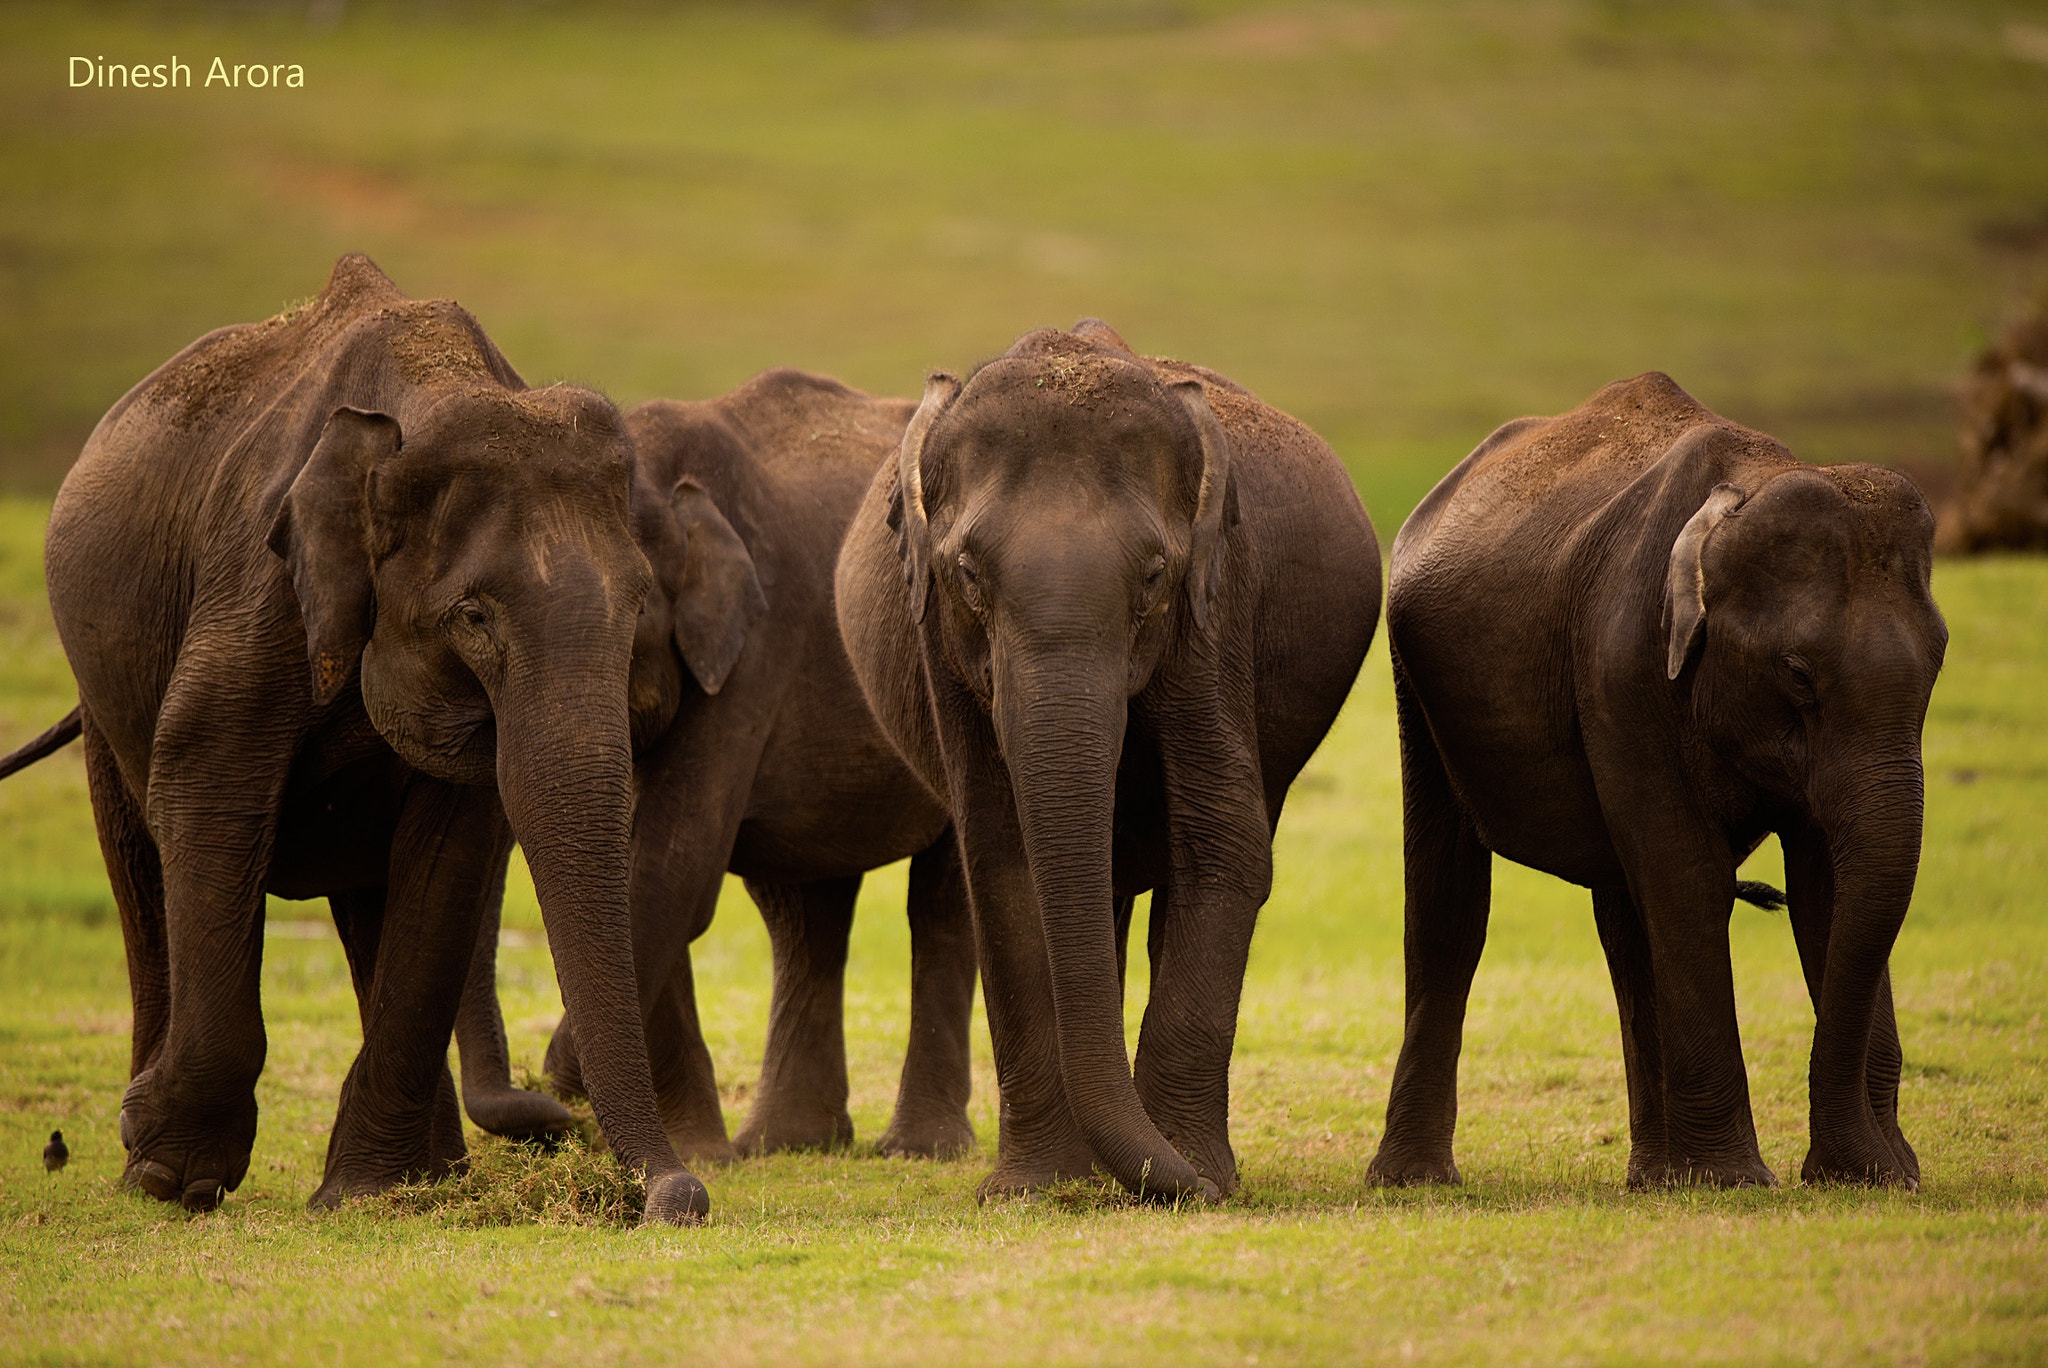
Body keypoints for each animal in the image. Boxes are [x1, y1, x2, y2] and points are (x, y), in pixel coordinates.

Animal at [25, 253, 704, 1220]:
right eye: (474, 616)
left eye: (640, 606)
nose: (682, 1198)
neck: (434, 390)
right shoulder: (256, 587)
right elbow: (207, 785)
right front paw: (176, 1175)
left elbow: (450, 854)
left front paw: (365, 1196)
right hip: (102, 683)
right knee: (138, 867)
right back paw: (143, 1164)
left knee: (368, 903)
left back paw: (428, 1175)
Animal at [458, 368, 983, 1163]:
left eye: (628, 619)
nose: (548, 1111)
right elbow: (644, 863)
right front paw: (697, 1154)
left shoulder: (752, 651)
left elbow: (675, 862)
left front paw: (573, 1094)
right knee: (803, 913)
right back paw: (786, 1146)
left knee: (940, 900)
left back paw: (916, 1151)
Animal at [839, 321, 1384, 1195]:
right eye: (968, 574)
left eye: (1155, 576)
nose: (1204, 1193)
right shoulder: (941, 644)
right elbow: (998, 858)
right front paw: (1029, 1190)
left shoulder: (1214, 611)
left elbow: (1224, 845)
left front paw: (1198, 1176)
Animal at [1368, 370, 1941, 1187]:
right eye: (1797, 673)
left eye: (1939, 660)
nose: (1837, 1170)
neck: (1748, 486)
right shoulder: (1622, 664)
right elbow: (1690, 877)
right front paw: (1739, 1182)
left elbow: (1826, 889)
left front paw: (1875, 1174)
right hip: (1414, 682)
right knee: (1451, 905)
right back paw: (1417, 1181)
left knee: (1625, 916)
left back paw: (1656, 1178)